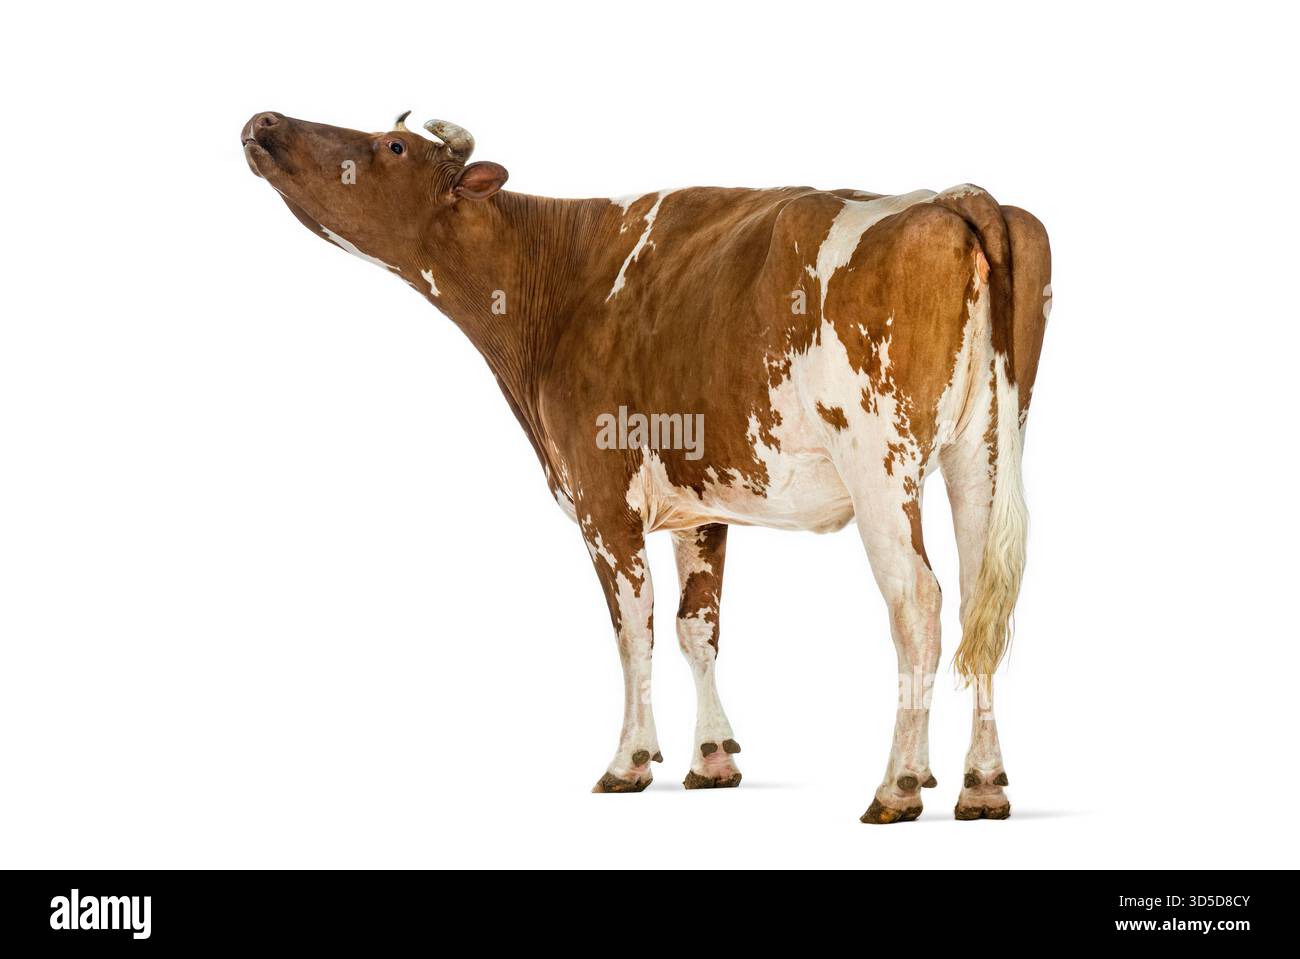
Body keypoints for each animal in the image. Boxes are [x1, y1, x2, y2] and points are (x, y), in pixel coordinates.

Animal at [241, 110, 1051, 822]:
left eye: (394, 146)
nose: (265, 120)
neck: (559, 280)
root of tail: (950, 196)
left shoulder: (602, 495)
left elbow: (634, 626)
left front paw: (629, 761)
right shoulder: (703, 503)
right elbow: (699, 626)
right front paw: (713, 759)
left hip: (880, 460)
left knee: (918, 600)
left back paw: (898, 785)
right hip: (982, 450)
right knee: (982, 600)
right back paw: (983, 785)